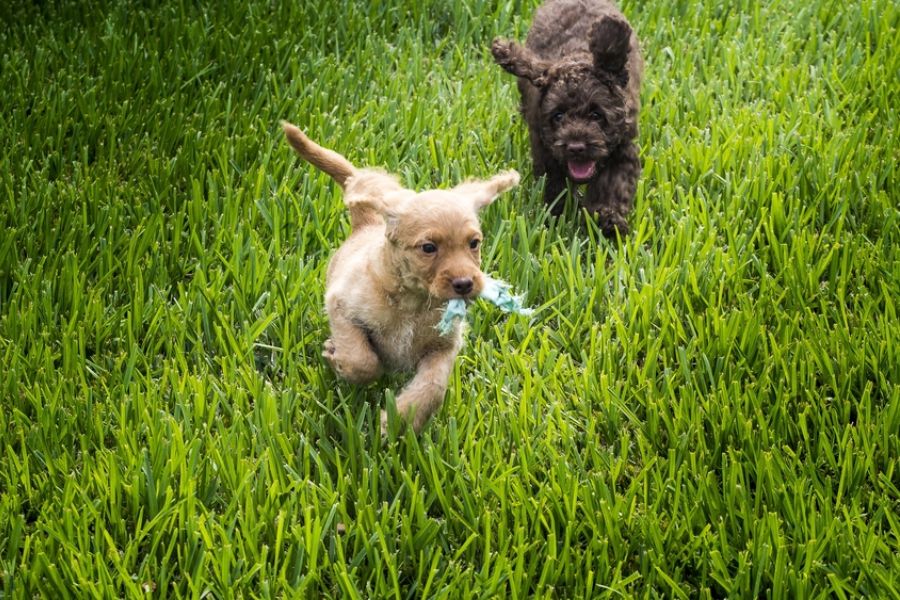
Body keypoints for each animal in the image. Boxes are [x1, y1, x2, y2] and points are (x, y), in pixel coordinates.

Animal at [282, 120, 520, 432]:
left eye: (474, 243)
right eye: (428, 248)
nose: (466, 284)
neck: (413, 303)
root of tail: (366, 223)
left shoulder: (444, 347)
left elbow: (433, 387)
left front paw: (401, 418)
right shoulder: (341, 306)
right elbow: (362, 360)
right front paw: (338, 360)